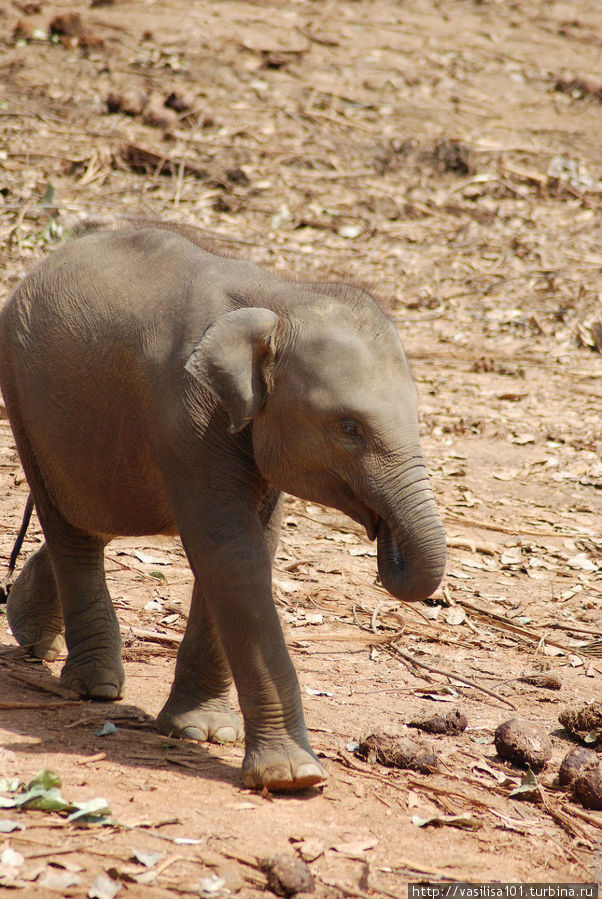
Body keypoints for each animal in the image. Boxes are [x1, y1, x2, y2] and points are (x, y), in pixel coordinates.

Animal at [0, 227, 442, 796]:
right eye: (349, 428)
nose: (382, 531)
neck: (279, 298)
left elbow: (252, 546)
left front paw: (203, 732)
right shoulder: (186, 414)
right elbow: (230, 552)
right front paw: (291, 776)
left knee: (94, 516)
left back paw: (38, 639)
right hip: (24, 400)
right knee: (70, 527)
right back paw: (94, 686)